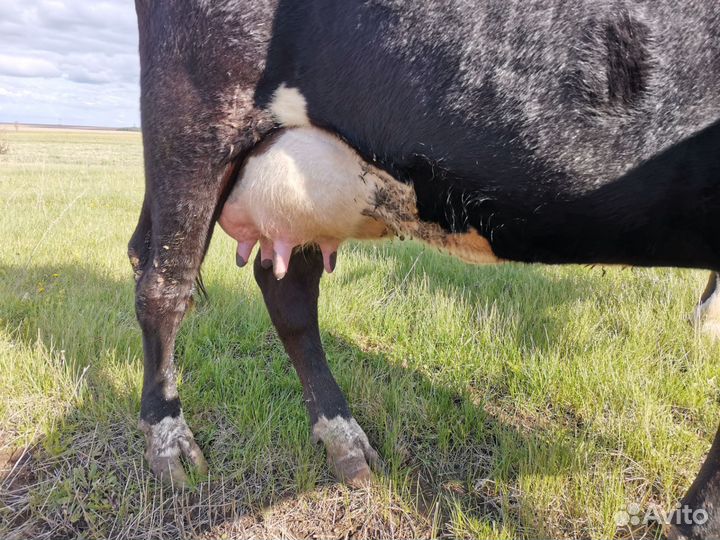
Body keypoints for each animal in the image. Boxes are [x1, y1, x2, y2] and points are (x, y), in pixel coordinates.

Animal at [130, 1, 720, 538]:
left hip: (300, 184)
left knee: (288, 292)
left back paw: (345, 441)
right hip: (193, 118)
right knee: (165, 285)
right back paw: (169, 445)